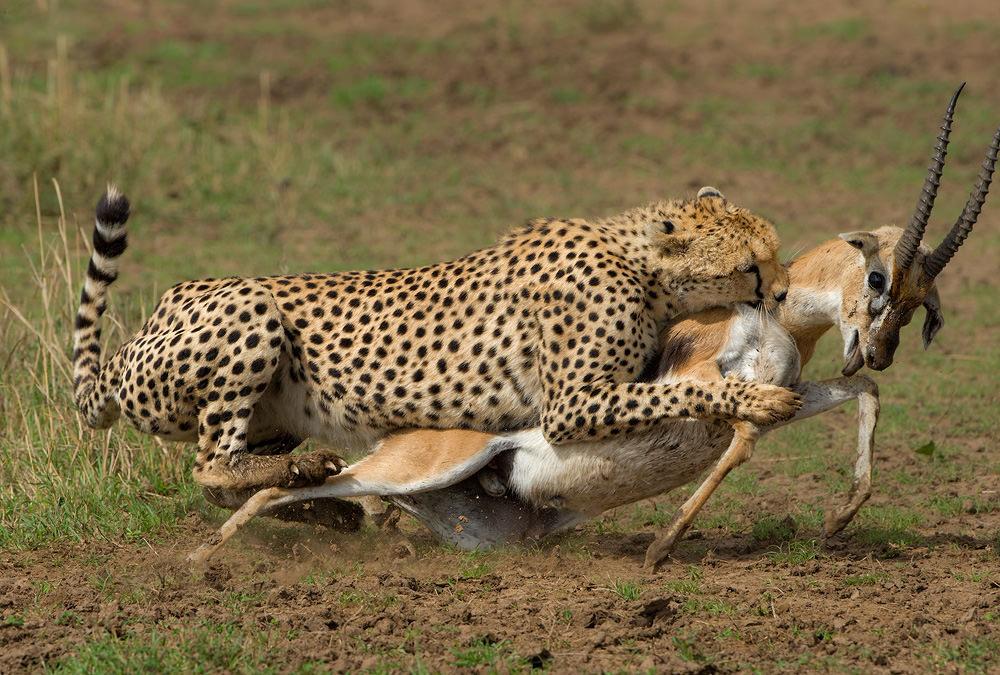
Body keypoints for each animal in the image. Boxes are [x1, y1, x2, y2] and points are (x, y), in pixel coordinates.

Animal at [72, 186, 796, 502]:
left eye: (775, 254)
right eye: (753, 267)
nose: (785, 293)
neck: (640, 264)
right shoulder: (570, 405)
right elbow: (684, 391)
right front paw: (755, 398)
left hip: (271, 411)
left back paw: (301, 481)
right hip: (248, 305)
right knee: (208, 463)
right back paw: (294, 474)